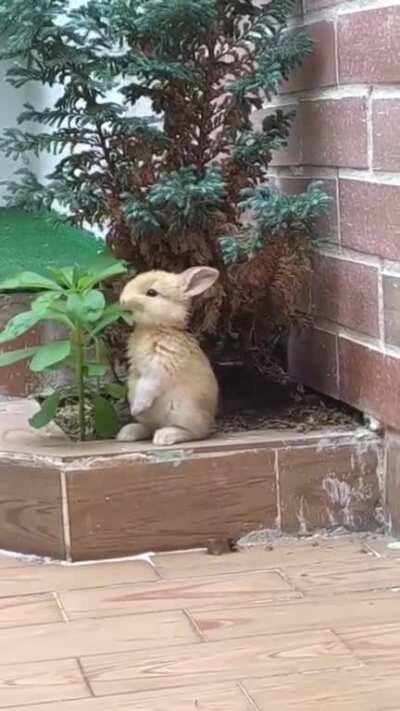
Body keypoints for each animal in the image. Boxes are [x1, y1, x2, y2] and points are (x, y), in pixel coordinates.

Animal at [117, 266, 220, 446]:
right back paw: (127, 433)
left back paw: (165, 436)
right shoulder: (136, 369)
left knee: (196, 433)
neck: (154, 327)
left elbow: (148, 385)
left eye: (151, 292)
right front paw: (133, 405)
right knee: (150, 427)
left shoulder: (159, 366)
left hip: (183, 410)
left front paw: (136, 407)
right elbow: (135, 383)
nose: (122, 301)